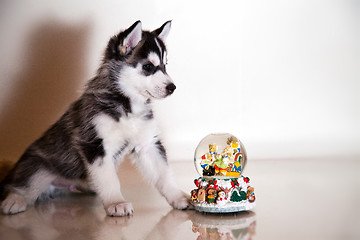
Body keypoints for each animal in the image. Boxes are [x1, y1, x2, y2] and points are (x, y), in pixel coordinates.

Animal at [0, 20, 190, 216]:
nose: (172, 87)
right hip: (38, 168)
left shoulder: (147, 144)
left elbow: (164, 174)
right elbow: (109, 179)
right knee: (21, 185)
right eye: (148, 67)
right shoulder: (94, 144)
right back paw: (14, 201)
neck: (127, 104)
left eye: (165, 65)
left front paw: (178, 197)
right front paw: (116, 202)